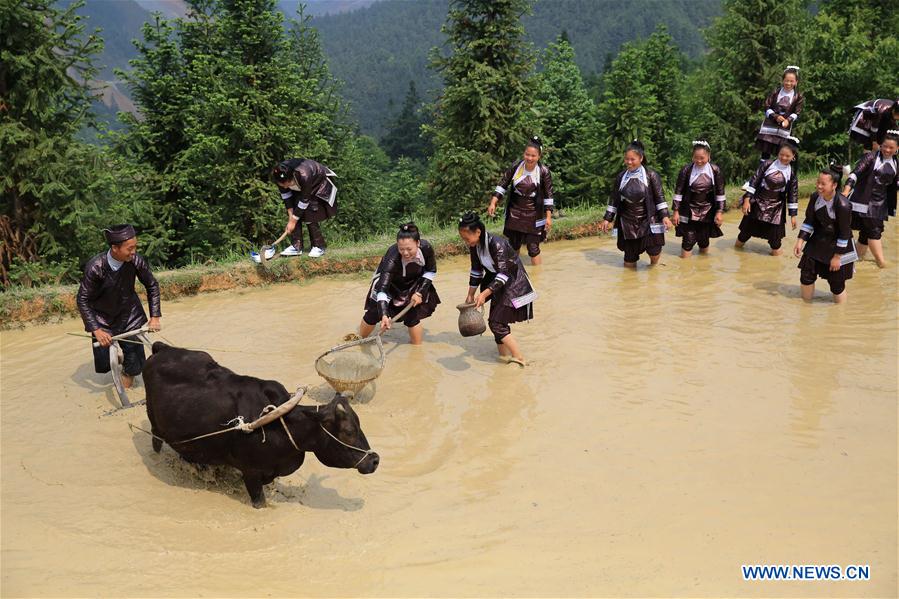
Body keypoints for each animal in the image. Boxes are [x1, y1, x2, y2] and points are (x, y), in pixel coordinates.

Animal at [142, 344, 380, 508]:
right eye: (348, 431)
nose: (375, 460)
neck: (280, 425)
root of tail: (162, 348)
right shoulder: (252, 473)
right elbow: (260, 502)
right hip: (155, 427)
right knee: (155, 443)